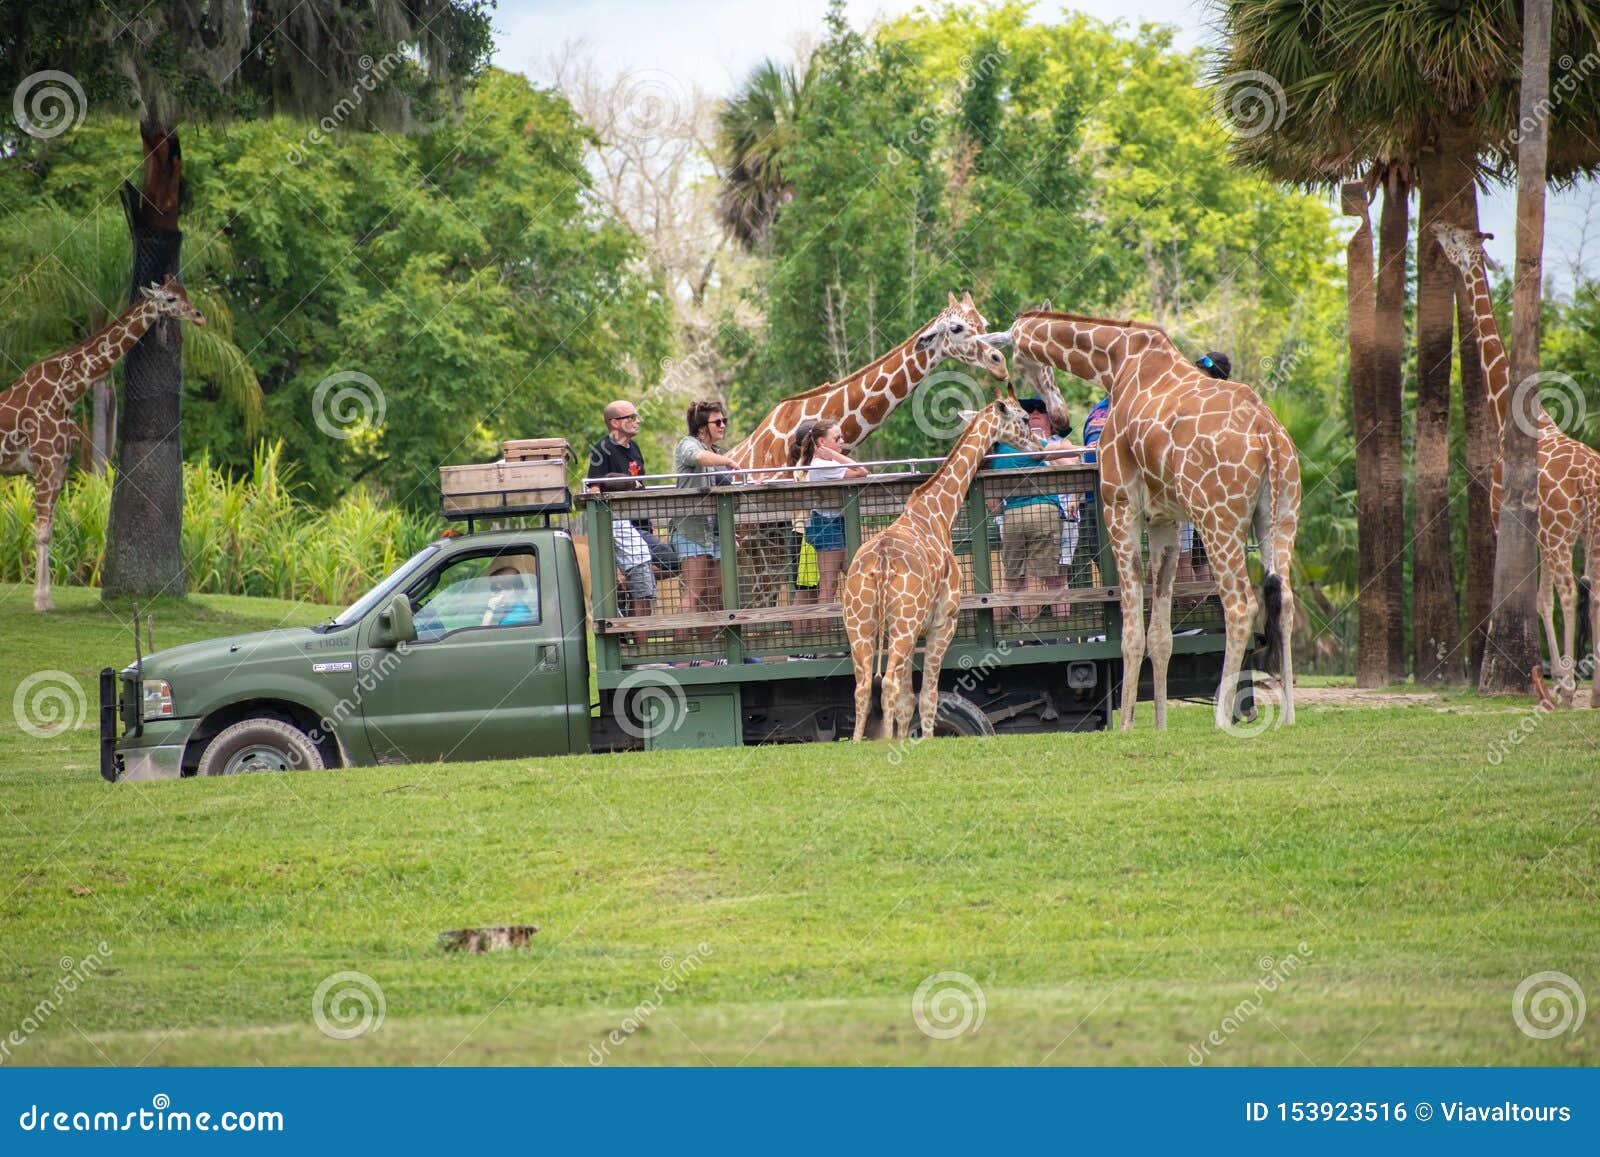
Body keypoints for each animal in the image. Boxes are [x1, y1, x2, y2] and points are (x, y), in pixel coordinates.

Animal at [0, 276, 206, 611]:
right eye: (171, 299)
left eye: (185, 293)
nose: (199, 316)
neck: (67, 392)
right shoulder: (45, 463)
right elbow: (41, 531)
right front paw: (41, 602)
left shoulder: (60, 465)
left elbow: (50, 530)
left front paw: (47, 599)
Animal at [844, 393, 1043, 742]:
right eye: (1023, 418)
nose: (1039, 445)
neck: (937, 513)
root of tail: (881, 563)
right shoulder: (943, 621)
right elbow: (929, 695)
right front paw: (924, 740)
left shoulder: (915, 630)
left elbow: (908, 700)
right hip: (902, 624)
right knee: (888, 683)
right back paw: (886, 743)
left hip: (861, 624)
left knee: (864, 686)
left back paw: (859, 742)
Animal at [998, 312, 1299, 729]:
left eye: (1022, 361)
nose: (1058, 418)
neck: (1118, 361)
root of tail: (1267, 434)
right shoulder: (1164, 521)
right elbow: (1160, 634)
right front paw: (1159, 726)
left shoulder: (1119, 505)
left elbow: (1130, 631)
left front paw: (1125, 725)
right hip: (1281, 514)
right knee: (1283, 599)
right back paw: (1288, 716)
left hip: (1216, 517)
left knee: (1240, 606)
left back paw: (1223, 719)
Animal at [1433, 219, 1593, 707]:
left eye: (1456, 240)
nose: (1434, 226)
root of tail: (1588, 479)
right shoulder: (1538, 533)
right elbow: (1539, 598)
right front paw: (1551, 677)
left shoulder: (1504, 518)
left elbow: (1535, 597)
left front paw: (1554, 680)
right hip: (1583, 531)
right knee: (1590, 587)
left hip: (1562, 532)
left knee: (1568, 590)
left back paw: (1569, 688)